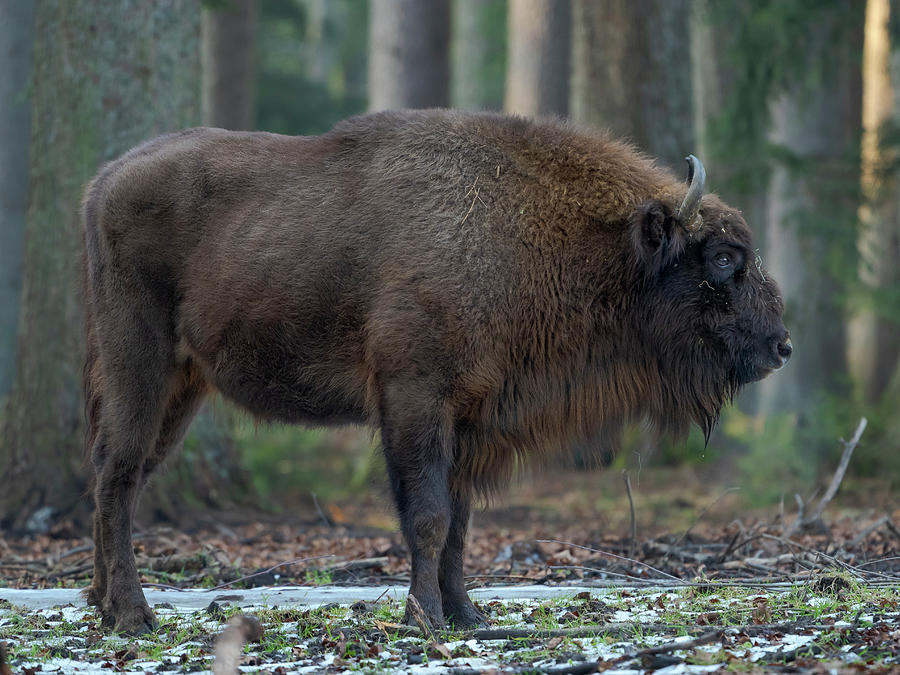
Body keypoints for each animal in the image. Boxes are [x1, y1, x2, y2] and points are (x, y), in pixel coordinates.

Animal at [81, 109, 792, 632]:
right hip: (140, 363)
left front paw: (466, 614)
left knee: (118, 476)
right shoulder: (415, 398)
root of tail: (105, 181)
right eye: (723, 258)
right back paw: (135, 617)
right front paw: (422, 618)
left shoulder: (470, 421)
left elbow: (460, 522)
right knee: (118, 475)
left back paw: (101, 604)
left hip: (182, 387)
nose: (781, 346)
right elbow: (427, 516)